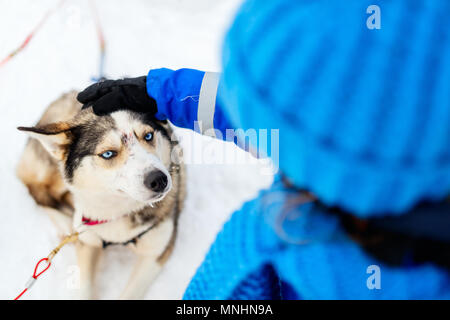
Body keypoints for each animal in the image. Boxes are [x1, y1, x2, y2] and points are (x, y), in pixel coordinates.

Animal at [15, 91, 185, 298]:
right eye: (108, 154)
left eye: (148, 135)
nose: (159, 180)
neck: (118, 210)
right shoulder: (87, 242)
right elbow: (84, 287)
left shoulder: (156, 252)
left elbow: (130, 293)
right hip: (53, 175)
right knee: (37, 190)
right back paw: (65, 223)